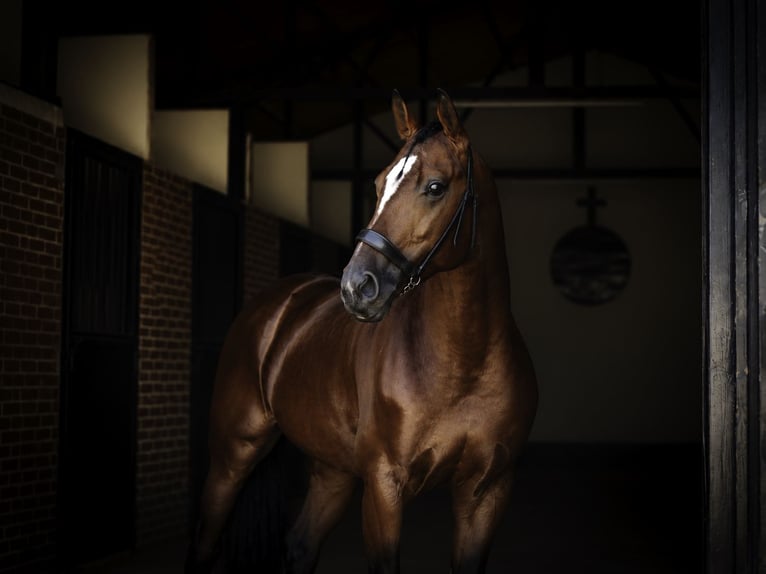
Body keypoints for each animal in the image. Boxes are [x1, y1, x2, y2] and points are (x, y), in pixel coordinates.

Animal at [185, 89, 538, 574]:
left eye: (435, 186)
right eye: (378, 184)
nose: (357, 286)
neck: (464, 362)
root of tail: (274, 305)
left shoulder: (486, 493)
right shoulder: (384, 485)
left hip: (332, 471)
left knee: (300, 543)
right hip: (233, 453)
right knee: (204, 541)